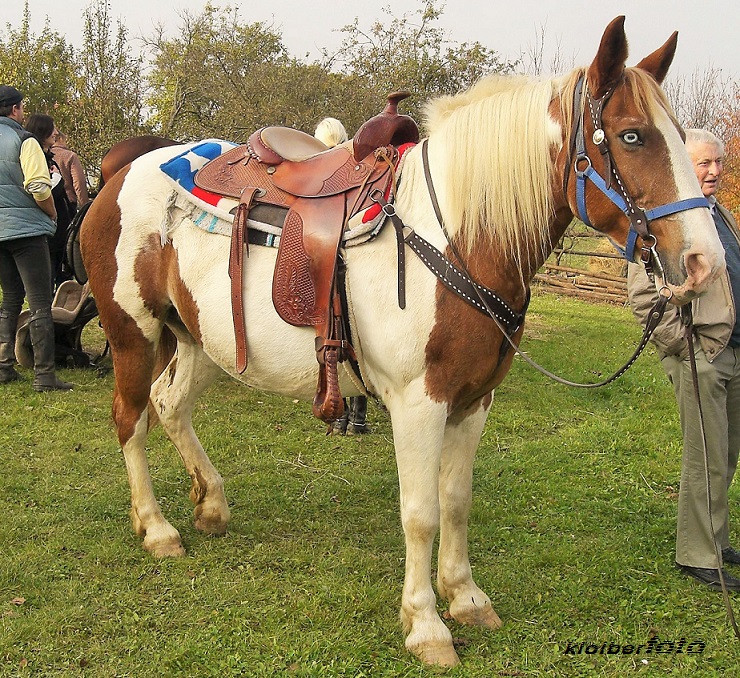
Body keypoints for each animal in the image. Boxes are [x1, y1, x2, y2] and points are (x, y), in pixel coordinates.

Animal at [79, 15, 724, 668]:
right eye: (632, 136)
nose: (704, 261)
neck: (457, 235)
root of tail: (119, 172)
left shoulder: (473, 401)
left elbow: (456, 499)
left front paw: (465, 597)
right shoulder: (419, 403)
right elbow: (420, 514)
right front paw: (426, 625)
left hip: (198, 339)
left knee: (170, 405)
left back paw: (210, 504)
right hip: (134, 334)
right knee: (131, 418)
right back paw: (157, 528)